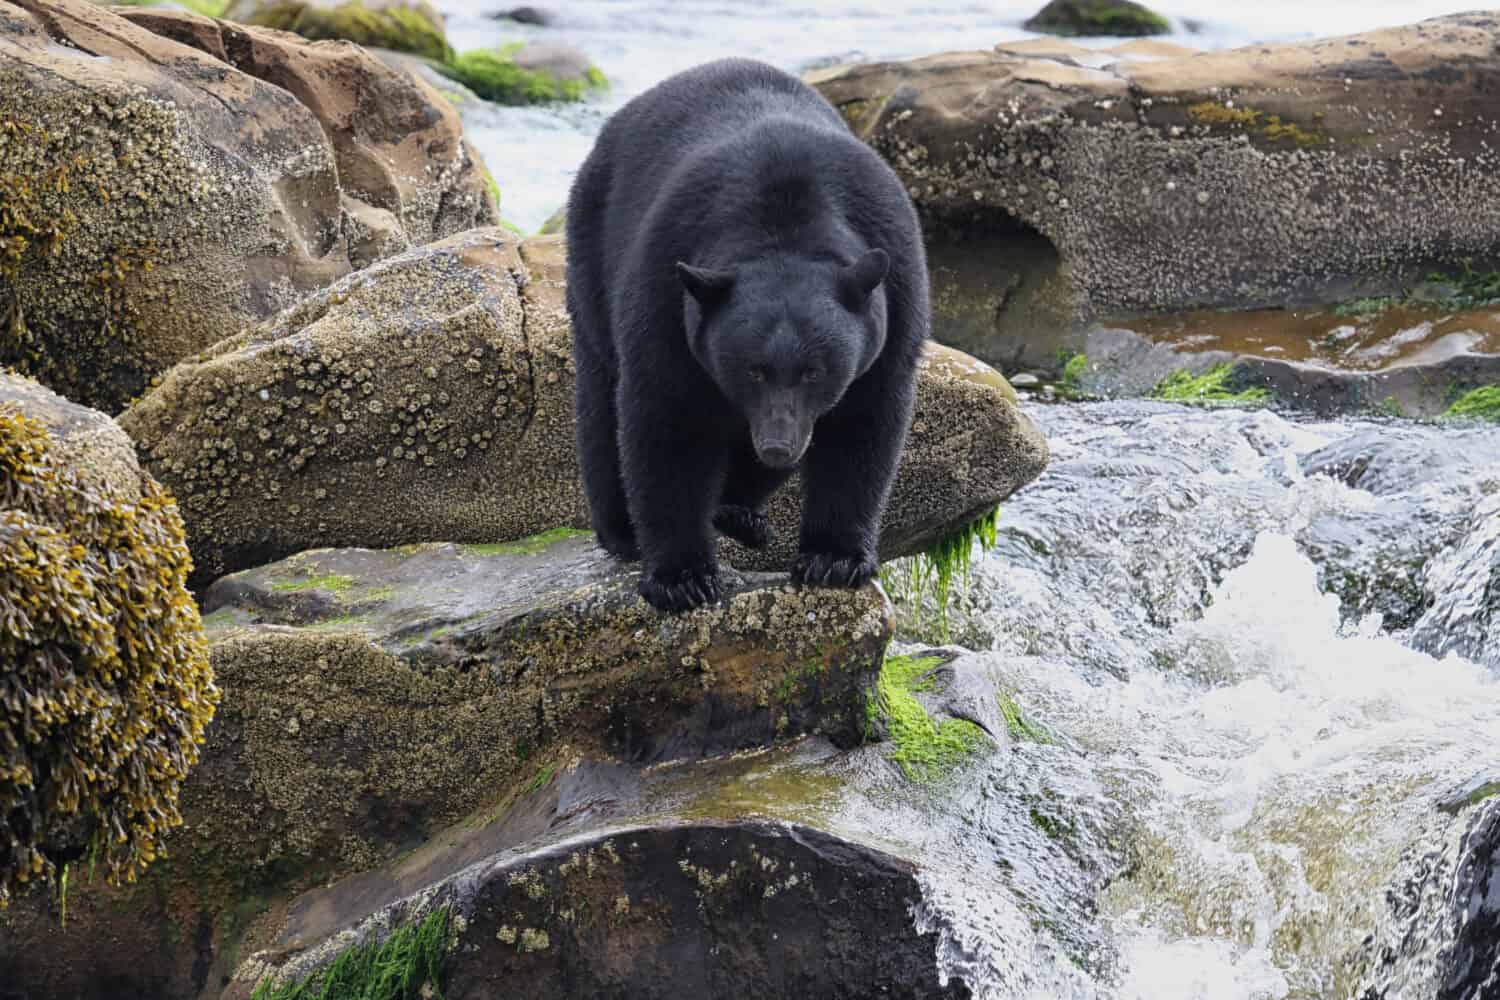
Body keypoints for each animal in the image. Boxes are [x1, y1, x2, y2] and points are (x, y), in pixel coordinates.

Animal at [564, 60, 924, 617]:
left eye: (815, 371)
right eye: (752, 369)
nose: (776, 445)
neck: (785, 227)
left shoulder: (895, 300)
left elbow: (864, 426)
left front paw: (835, 559)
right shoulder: (664, 292)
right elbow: (666, 423)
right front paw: (681, 577)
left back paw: (739, 512)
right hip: (591, 253)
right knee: (602, 400)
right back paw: (622, 529)